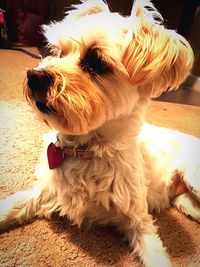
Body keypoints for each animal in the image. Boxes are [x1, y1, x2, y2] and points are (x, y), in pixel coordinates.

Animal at [0, 1, 200, 266]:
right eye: (59, 52)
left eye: (96, 62)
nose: (34, 76)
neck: (86, 150)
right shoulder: (46, 191)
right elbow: (12, 206)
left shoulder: (138, 219)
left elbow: (155, 254)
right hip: (185, 202)